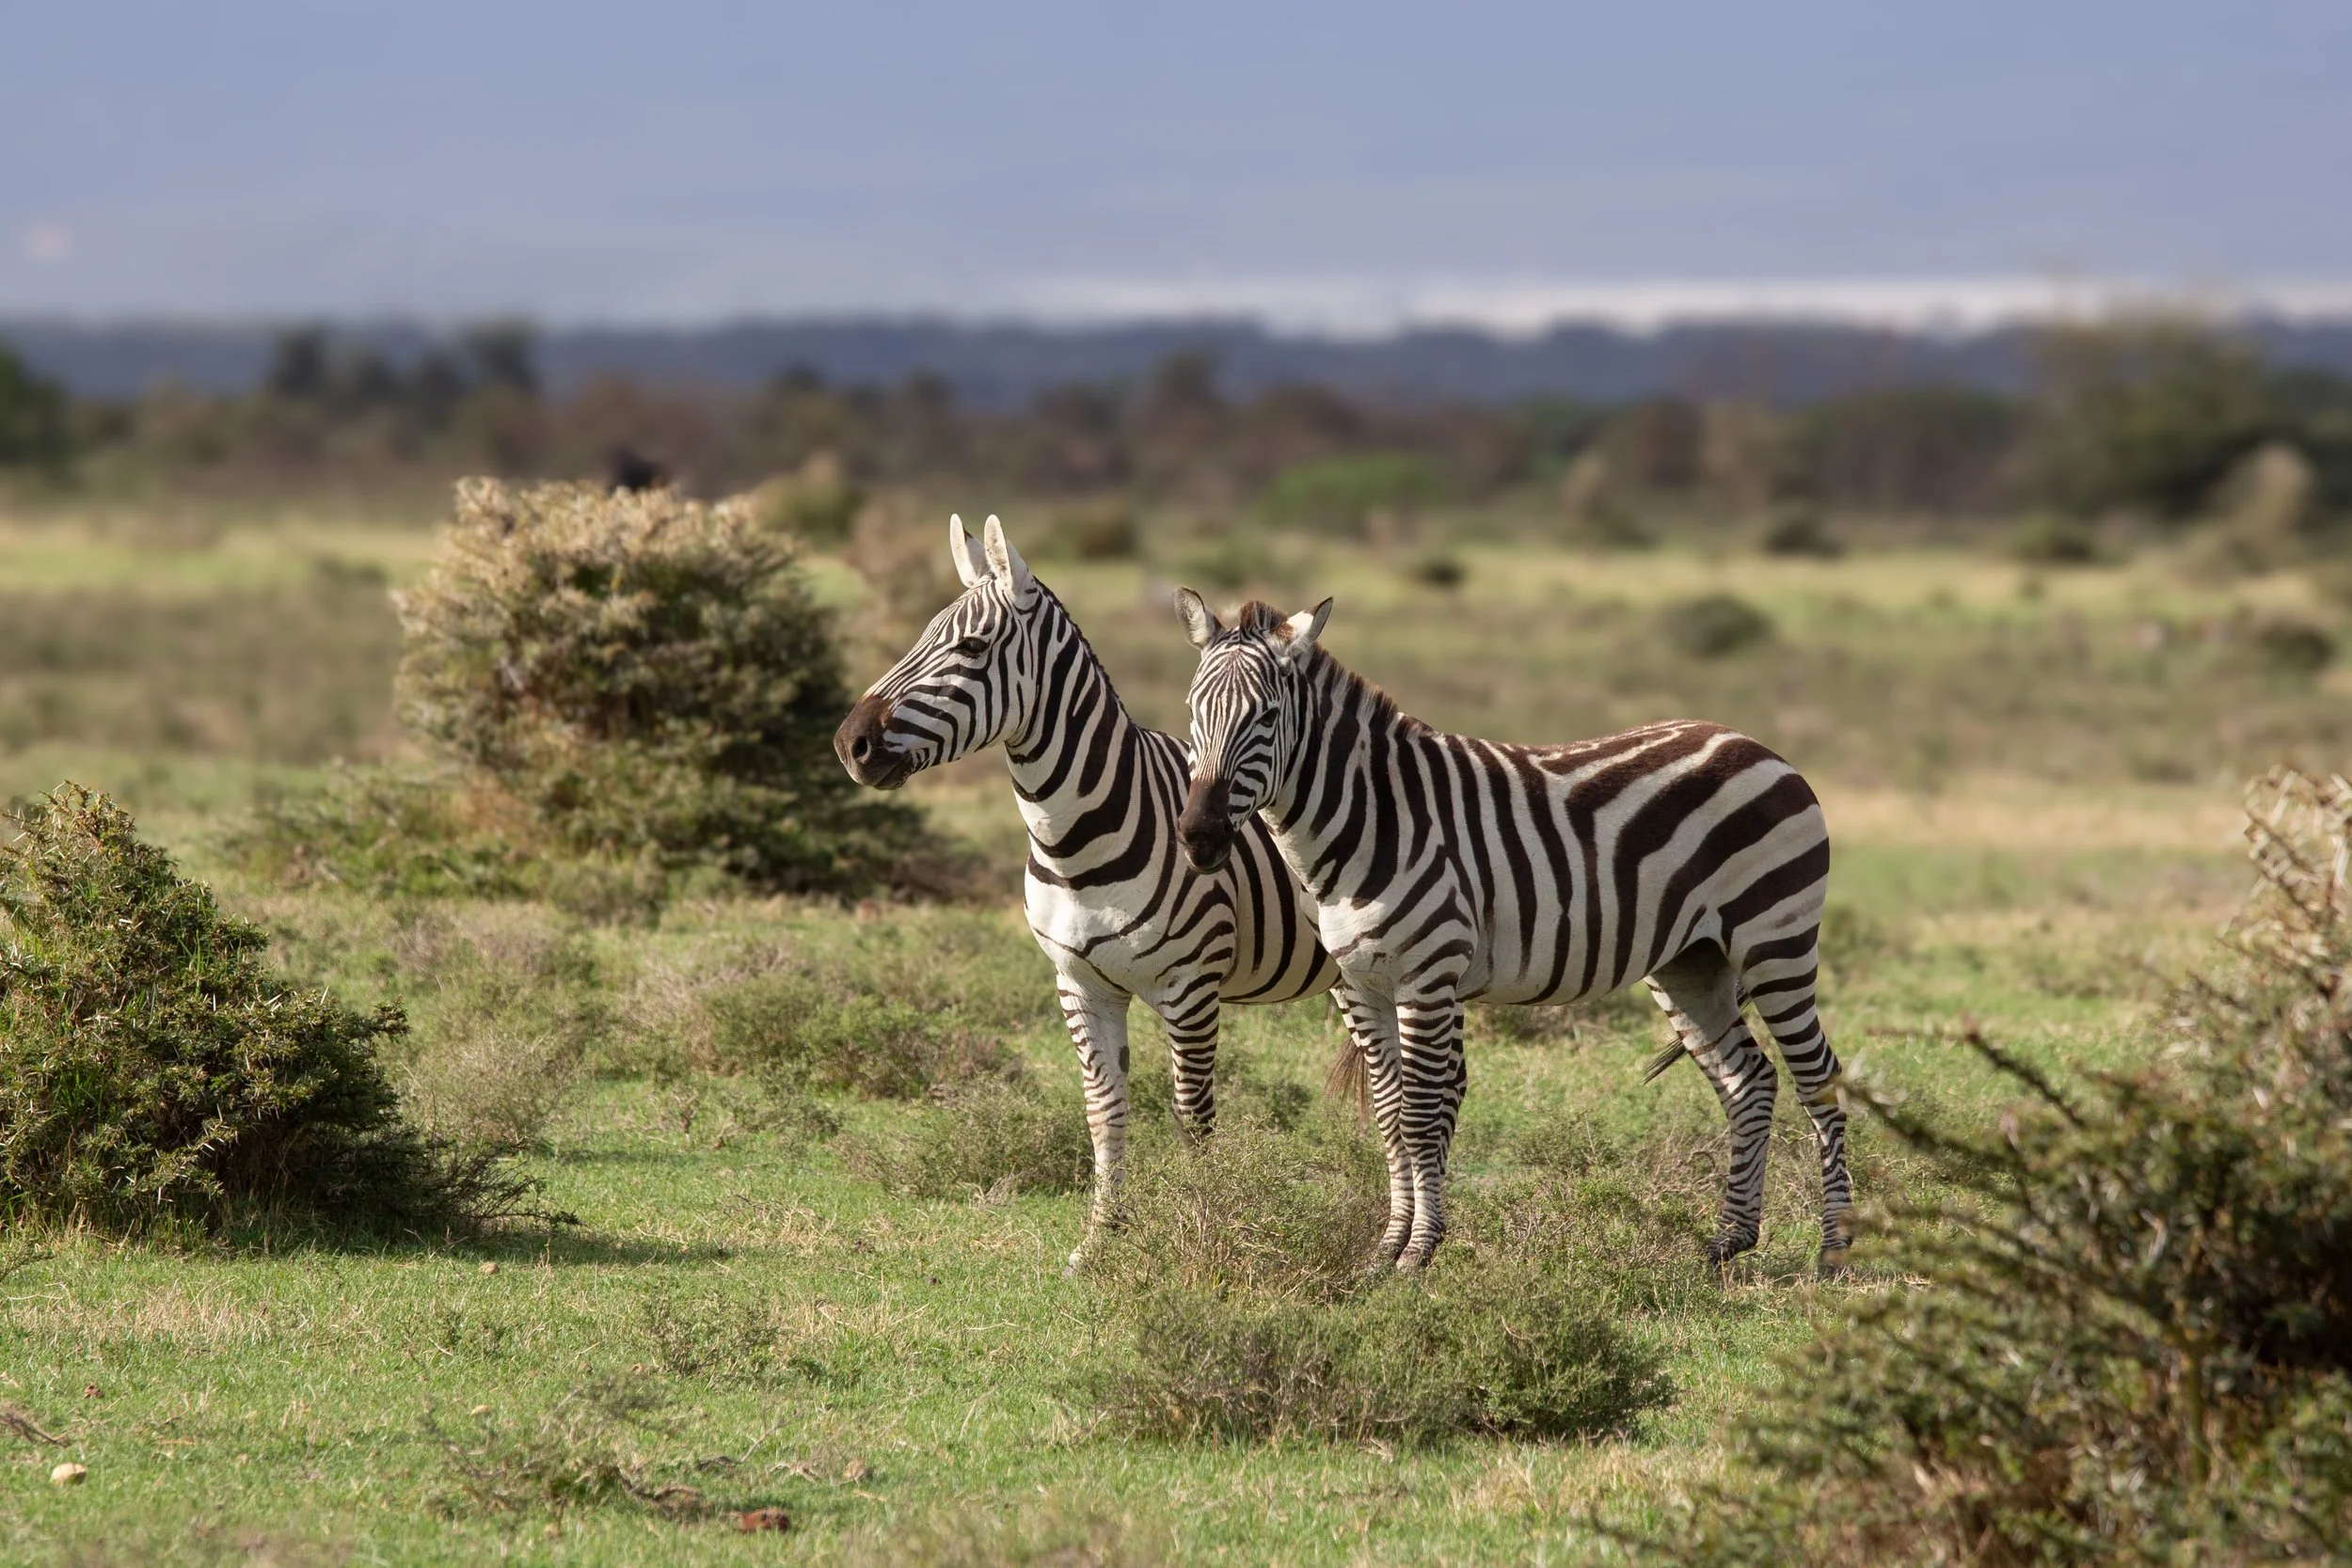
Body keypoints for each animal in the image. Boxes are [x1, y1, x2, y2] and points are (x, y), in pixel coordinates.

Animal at [833, 517, 1340, 1268]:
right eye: (922, 634)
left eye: (971, 647)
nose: (851, 743)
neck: (1073, 843)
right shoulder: (1079, 983)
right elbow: (1104, 1110)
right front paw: (1100, 1239)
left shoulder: (1190, 988)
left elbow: (1193, 1117)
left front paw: (1205, 1231)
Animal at [1170, 591, 1852, 1277]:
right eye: (1193, 711)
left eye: (1266, 716)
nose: (1199, 836)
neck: (1369, 821)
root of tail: (1758, 745)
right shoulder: (1357, 986)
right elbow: (1388, 1114)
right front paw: (1386, 1248)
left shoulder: (1427, 974)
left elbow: (1420, 1115)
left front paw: (1419, 1250)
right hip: (1693, 962)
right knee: (1749, 1081)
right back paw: (1729, 1240)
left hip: (1776, 943)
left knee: (1818, 1077)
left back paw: (1834, 1249)